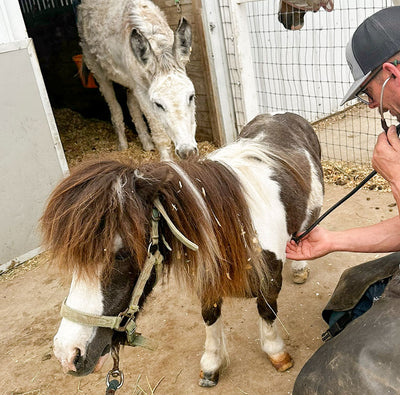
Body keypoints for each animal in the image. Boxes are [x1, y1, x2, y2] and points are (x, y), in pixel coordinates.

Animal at [40, 113, 324, 388]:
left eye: (122, 254)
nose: (68, 355)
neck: (241, 224)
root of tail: (282, 115)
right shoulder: (209, 279)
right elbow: (210, 316)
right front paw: (211, 364)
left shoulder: (270, 279)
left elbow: (267, 312)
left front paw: (276, 352)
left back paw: (299, 268)